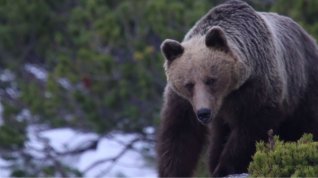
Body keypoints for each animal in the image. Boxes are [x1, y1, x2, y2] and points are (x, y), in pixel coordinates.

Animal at [155, 0, 318, 177]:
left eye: (211, 80)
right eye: (188, 84)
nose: (204, 112)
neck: (227, 94)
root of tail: (308, 36)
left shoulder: (256, 89)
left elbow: (249, 132)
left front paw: (223, 168)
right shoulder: (183, 101)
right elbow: (180, 133)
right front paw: (173, 170)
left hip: (303, 86)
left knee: (304, 125)